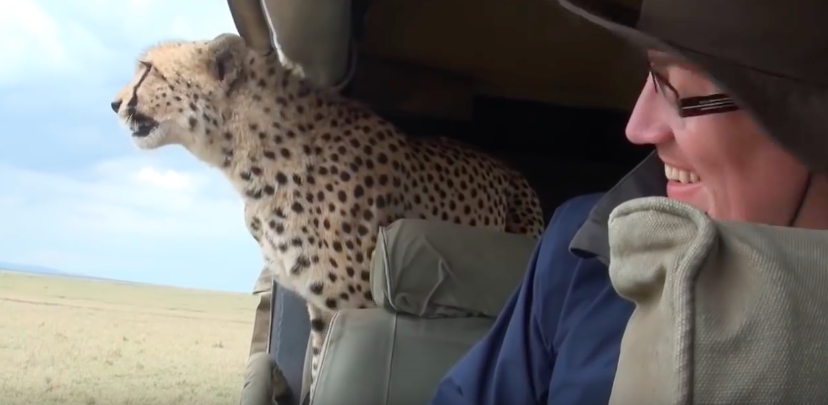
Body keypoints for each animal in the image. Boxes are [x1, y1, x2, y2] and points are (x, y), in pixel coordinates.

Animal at [111, 34, 548, 394]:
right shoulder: (323, 310)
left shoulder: (357, 305)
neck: (252, 154)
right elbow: (319, 368)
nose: (115, 103)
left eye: (148, 70)